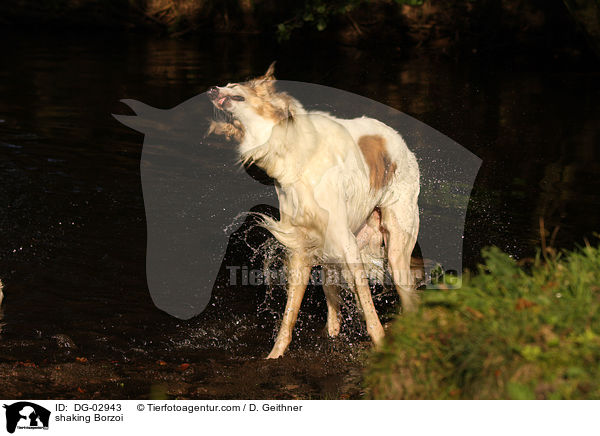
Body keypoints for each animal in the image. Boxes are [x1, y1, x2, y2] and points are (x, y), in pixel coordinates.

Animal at [209, 63, 420, 358]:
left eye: (233, 85)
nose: (211, 89)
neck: (292, 151)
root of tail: (398, 139)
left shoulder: (346, 243)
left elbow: (369, 310)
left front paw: (380, 345)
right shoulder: (301, 247)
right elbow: (289, 316)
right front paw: (274, 356)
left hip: (396, 248)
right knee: (334, 309)